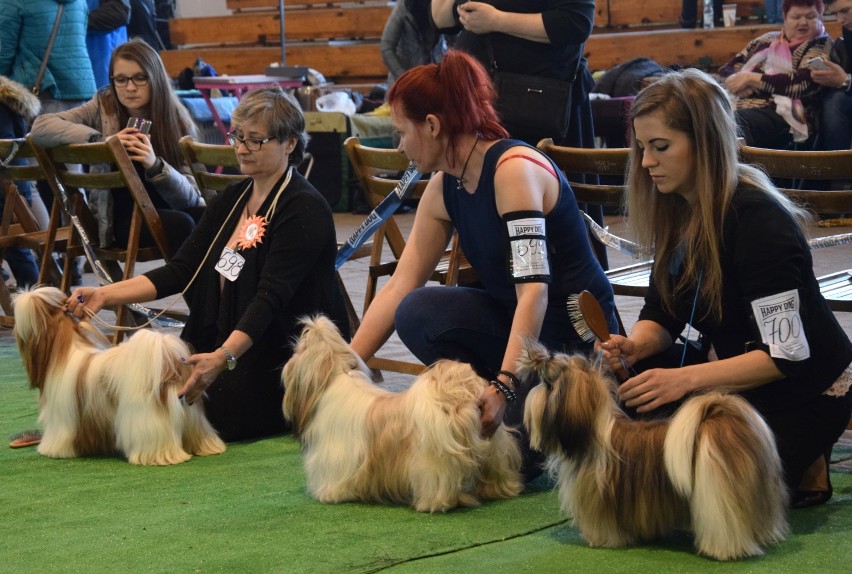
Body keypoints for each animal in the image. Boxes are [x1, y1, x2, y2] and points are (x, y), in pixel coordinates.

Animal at [12, 288, 225, 468]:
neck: (68, 347)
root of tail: (168, 366)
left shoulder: (61, 418)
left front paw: (51, 450)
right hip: (192, 414)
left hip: (145, 418)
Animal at [282, 318, 524, 516]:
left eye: (297, 348)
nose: (288, 358)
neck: (337, 376)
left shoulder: (336, 456)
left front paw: (330, 494)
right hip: (495, 445)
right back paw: (503, 489)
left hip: (432, 460)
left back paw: (433, 503)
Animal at [520, 340, 792, 560]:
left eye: (547, 384)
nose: (535, 387)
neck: (593, 431)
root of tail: (720, 418)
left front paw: (602, 540)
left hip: (715, 492)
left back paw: (724, 551)